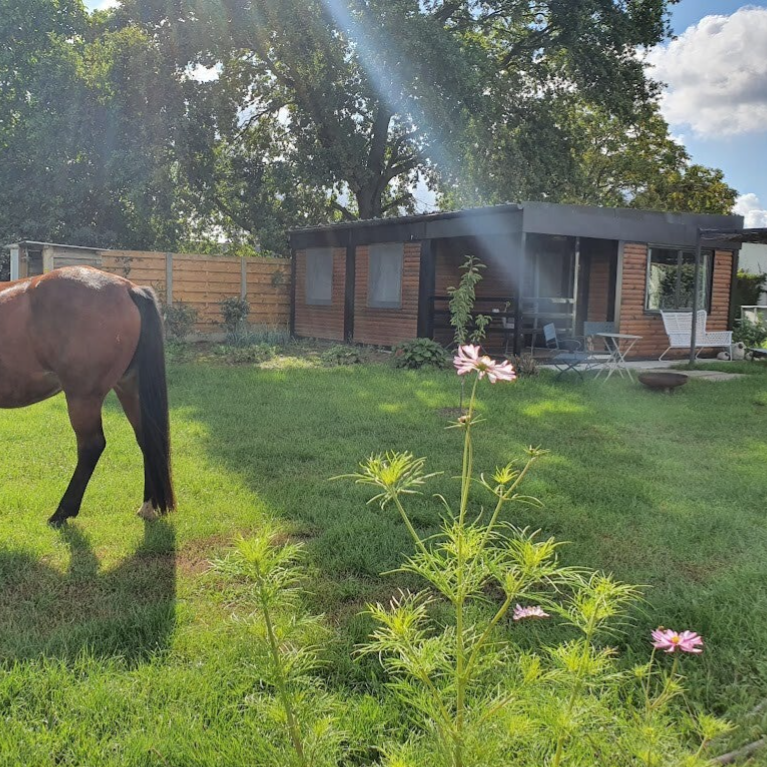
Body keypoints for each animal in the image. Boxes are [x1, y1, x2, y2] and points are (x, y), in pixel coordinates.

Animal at [0, 266, 174, 526]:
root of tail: (128, 288)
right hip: (129, 388)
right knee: (147, 439)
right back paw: (147, 507)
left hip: (83, 397)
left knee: (91, 446)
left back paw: (62, 511)